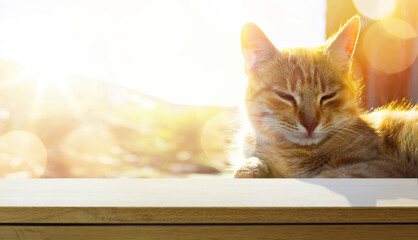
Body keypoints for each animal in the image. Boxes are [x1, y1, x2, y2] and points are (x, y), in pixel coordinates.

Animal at [233, 16, 416, 177]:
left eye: (328, 96)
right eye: (286, 96)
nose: (310, 124)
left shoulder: (381, 165)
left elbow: (334, 175)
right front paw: (251, 168)